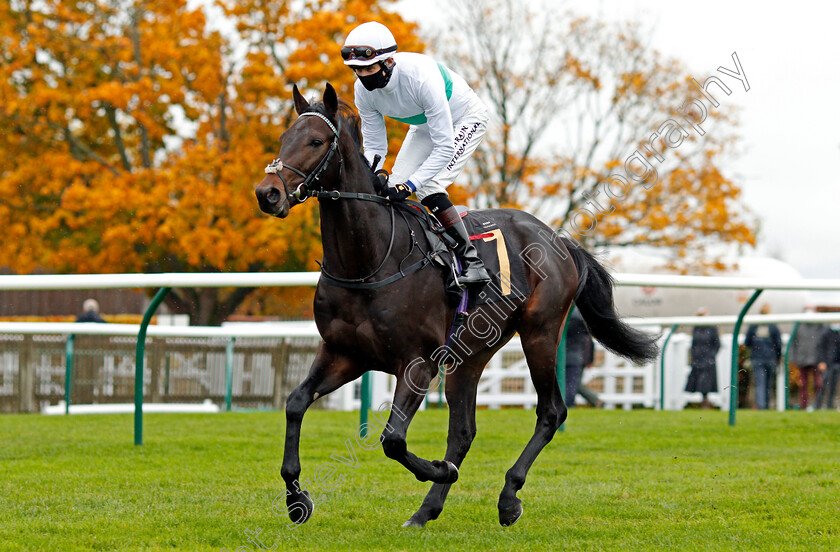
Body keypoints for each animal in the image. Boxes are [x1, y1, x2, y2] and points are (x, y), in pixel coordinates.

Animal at [253, 84, 660, 528]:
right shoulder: (344, 354)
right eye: (282, 138)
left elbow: (393, 440)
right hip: (471, 353)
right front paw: (296, 498)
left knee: (551, 411)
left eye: (315, 141)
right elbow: (295, 403)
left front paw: (441, 469)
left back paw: (508, 497)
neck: (368, 262)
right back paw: (426, 510)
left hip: (540, 332)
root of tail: (558, 239)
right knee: (464, 430)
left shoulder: (417, 363)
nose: (267, 193)